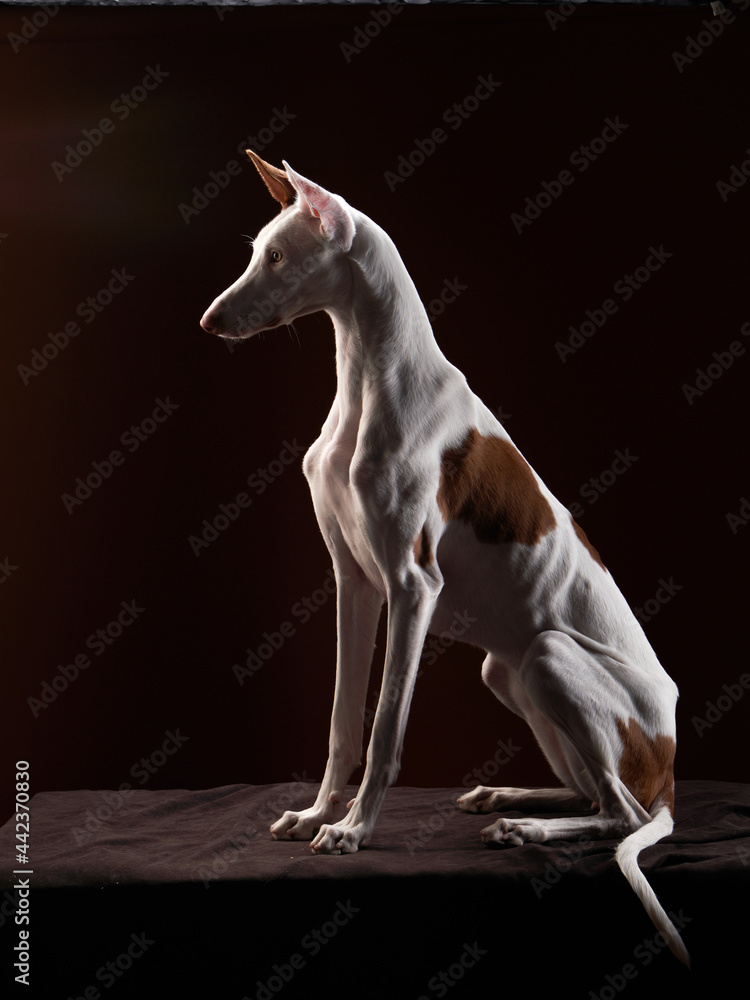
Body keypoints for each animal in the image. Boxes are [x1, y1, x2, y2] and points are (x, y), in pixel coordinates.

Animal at [203, 152, 692, 964]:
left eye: (275, 258)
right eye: (255, 252)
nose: (209, 321)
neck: (368, 383)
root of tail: (673, 764)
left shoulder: (412, 588)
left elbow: (385, 728)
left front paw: (353, 831)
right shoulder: (354, 585)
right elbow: (343, 724)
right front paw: (317, 814)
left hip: (551, 655)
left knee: (621, 811)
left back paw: (525, 827)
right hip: (508, 671)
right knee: (597, 792)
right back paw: (508, 797)